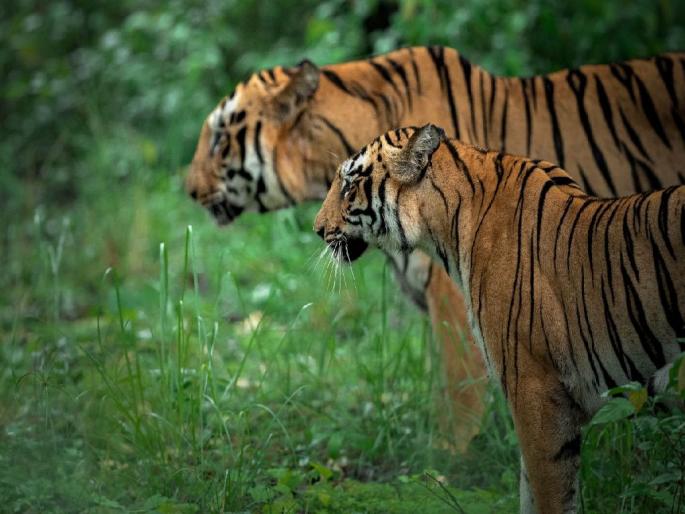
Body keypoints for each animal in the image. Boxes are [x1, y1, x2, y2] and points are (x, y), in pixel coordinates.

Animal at [313, 123, 685, 514]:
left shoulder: (535, 390)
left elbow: (549, 495)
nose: (317, 229)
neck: (445, 224)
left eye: (349, 186)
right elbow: (529, 491)